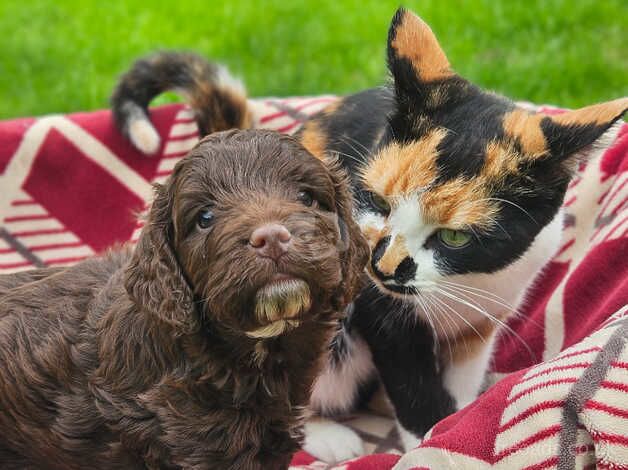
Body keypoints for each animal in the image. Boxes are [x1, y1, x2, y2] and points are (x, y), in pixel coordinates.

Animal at [110, 7, 624, 462]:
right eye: (375, 200)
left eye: (455, 238)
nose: (382, 265)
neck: (464, 283)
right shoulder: (380, 312)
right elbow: (413, 386)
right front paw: (430, 444)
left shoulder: (486, 315)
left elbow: (460, 377)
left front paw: (460, 419)